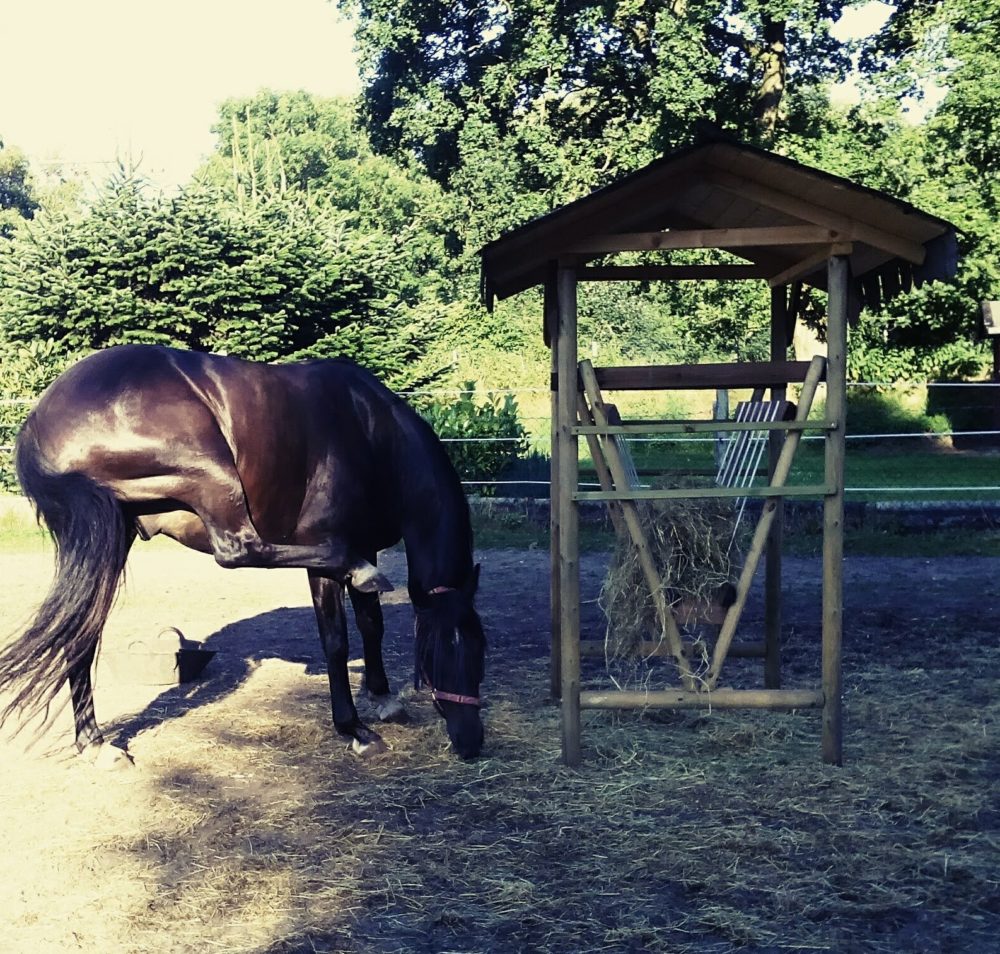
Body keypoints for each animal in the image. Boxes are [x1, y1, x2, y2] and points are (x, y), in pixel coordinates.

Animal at [0, 342, 484, 760]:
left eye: (478, 646)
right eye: (440, 653)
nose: (470, 742)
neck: (370, 431)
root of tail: (39, 422)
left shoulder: (370, 543)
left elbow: (372, 625)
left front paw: (383, 698)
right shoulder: (334, 552)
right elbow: (336, 640)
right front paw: (353, 728)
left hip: (109, 537)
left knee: (80, 632)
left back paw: (96, 745)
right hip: (209, 470)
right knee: (238, 548)